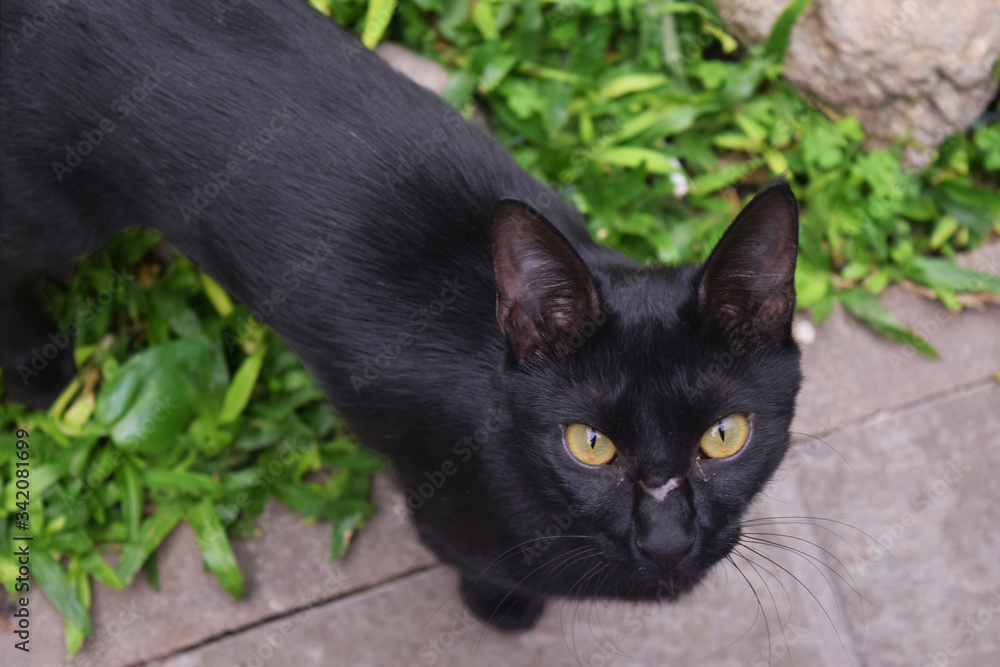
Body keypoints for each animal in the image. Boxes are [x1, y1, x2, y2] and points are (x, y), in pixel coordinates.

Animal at [0, 0, 800, 632]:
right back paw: (44, 376)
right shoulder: (448, 521)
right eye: (590, 444)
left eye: (725, 435)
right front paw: (503, 610)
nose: (667, 540)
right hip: (56, 215)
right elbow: (487, 569)